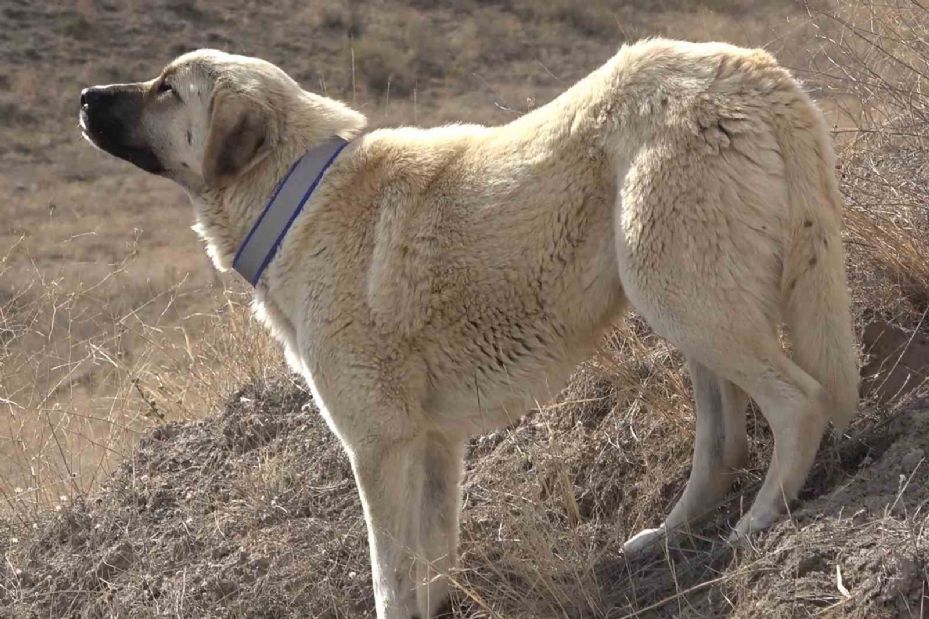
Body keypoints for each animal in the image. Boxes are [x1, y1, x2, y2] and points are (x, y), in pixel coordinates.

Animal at [83, 41, 860, 616]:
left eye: (165, 90)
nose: (86, 96)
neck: (296, 193)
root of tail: (750, 69)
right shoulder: (434, 445)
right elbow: (434, 560)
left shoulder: (379, 445)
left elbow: (390, 573)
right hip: (683, 300)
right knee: (724, 438)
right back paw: (670, 535)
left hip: (681, 295)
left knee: (800, 400)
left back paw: (760, 521)